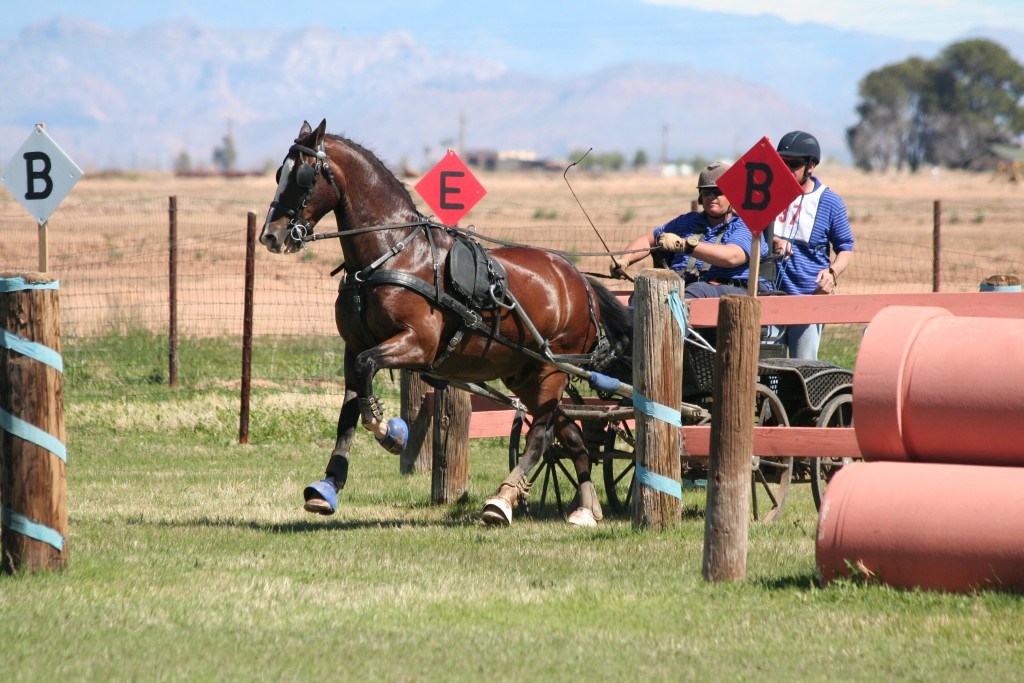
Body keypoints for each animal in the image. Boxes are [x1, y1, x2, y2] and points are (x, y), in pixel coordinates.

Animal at [260, 121, 630, 528]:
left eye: (303, 175)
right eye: (278, 174)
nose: (271, 236)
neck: (393, 253)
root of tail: (579, 280)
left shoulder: (417, 343)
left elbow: (366, 377)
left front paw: (390, 432)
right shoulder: (352, 347)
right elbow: (349, 410)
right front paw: (327, 486)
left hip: (552, 369)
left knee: (542, 436)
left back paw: (501, 501)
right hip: (527, 374)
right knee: (571, 437)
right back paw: (586, 506)